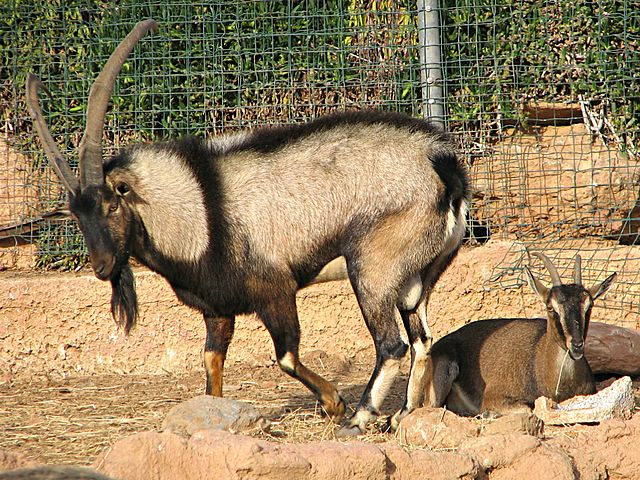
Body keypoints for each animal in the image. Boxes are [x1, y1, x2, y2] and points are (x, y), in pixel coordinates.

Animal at [26, 19, 470, 436]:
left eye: (112, 204)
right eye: (77, 215)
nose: (102, 267)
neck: (204, 206)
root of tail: (442, 166)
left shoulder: (275, 290)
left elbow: (286, 356)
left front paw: (333, 403)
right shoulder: (217, 308)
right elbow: (211, 361)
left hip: (372, 272)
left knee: (392, 344)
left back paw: (359, 417)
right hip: (416, 279)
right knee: (422, 339)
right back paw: (402, 415)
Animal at [420, 251, 616, 416]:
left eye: (589, 306)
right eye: (551, 307)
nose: (576, 345)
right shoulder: (494, 396)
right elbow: (528, 408)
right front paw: (488, 414)